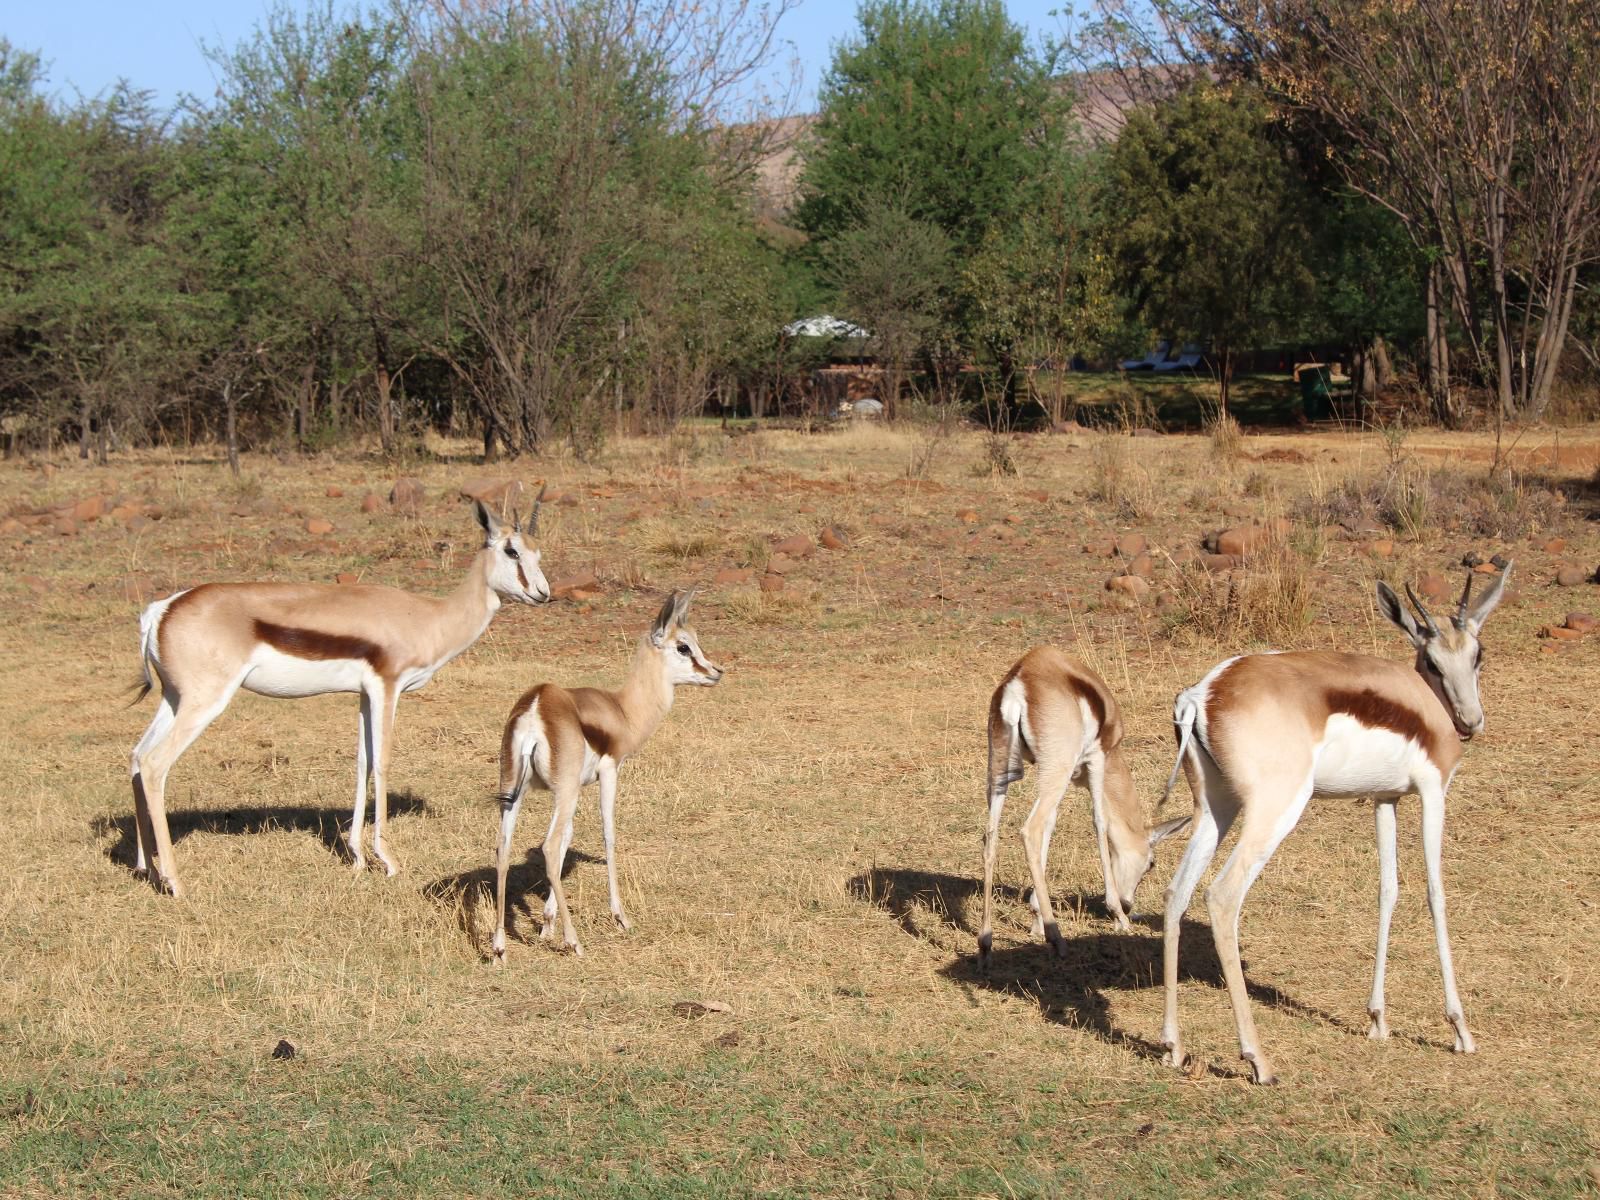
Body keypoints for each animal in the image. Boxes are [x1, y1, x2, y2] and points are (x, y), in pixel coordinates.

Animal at [128, 492, 550, 896]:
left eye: (537, 552)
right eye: (511, 551)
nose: (543, 593)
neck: (428, 617)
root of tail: (162, 609)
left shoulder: (364, 694)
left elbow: (362, 764)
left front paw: (358, 857)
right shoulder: (387, 687)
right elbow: (382, 763)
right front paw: (388, 860)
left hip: (174, 700)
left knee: (135, 758)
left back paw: (146, 868)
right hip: (204, 702)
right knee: (153, 764)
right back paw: (175, 882)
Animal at [486, 588, 726, 966]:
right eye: (683, 646)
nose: (716, 671)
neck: (623, 711)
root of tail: (538, 703)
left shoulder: (576, 789)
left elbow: (569, 839)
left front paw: (546, 925)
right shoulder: (610, 771)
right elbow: (608, 834)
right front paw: (621, 917)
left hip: (515, 790)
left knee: (504, 847)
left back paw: (499, 947)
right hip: (562, 791)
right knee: (549, 846)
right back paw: (574, 942)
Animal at [972, 649, 1190, 966]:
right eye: (1151, 863)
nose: (1128, 903)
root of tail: (1020, 679)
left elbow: (1051, 828)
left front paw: (1036, 918)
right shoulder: (1097, 759)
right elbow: (1100, 822)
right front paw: (1118, 915)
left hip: (1002, 770)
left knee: (991, 836)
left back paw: (986, 943)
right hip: (1055, 769)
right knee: (1030, 830)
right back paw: (1057, 939)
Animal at [1164, 569, 1510, 1088]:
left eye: (1478, 654)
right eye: (1432, 659)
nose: (1471, 721)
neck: (1424, 708)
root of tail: (1202, 693)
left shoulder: (1386, 799)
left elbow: (1388, 890)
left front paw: (1377, 1020)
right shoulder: (1433, 793)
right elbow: (1435, 893)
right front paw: (1460, 1029)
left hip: (1215, 810)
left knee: (1175, 894)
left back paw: (1173, 1047)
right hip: (1275, 810)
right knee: (1222, 897)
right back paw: (1258, 1061)